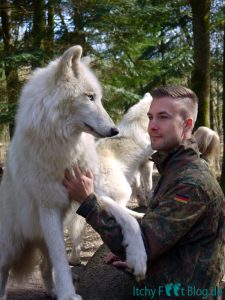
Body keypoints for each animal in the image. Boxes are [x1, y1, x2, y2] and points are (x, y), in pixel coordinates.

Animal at [0, 45, 147, 300]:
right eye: (90, 97)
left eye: (98, 97)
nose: (114, 130)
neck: (66, 148)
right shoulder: (49, 208)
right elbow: (62, 259)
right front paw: (69, 295)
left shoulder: (91, 191)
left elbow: (126, 217)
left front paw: (138, 257)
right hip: (10, 247)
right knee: (6, 272)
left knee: (44, 267)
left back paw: (52, 291)